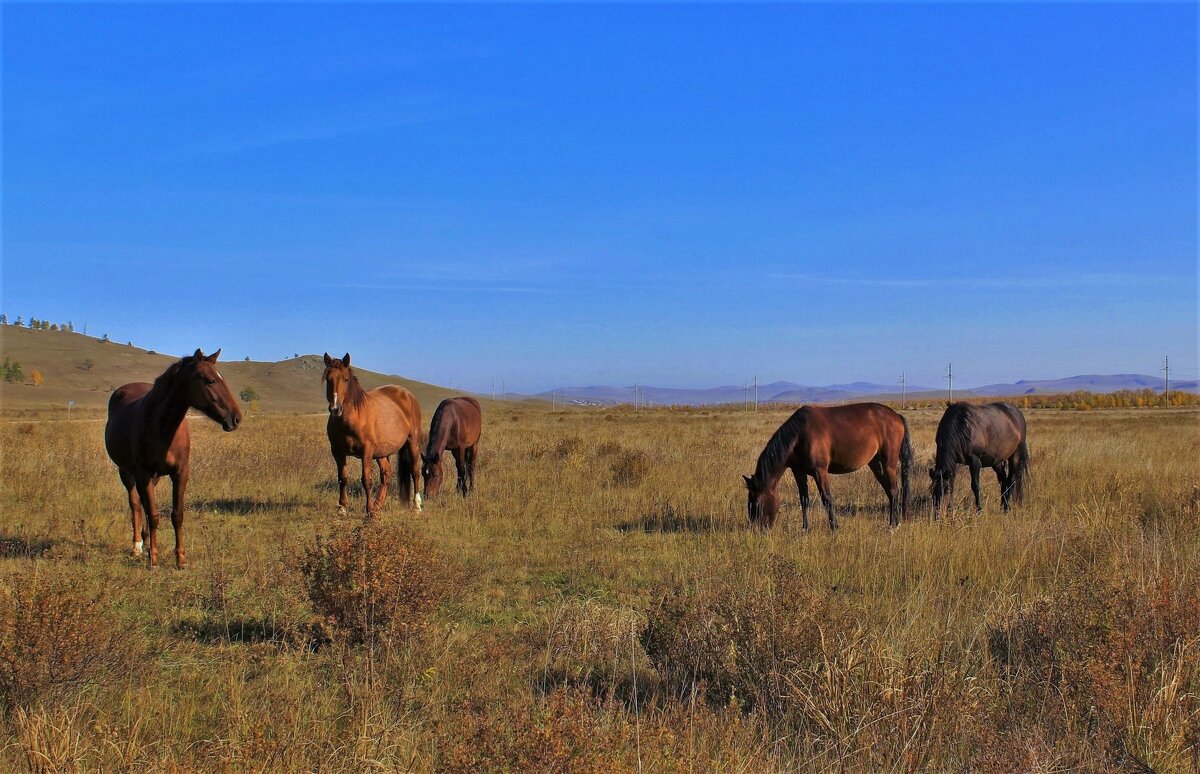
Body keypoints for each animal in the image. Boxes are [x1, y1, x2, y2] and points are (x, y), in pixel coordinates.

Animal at [105, 350, 241, 566]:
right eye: (210, 380)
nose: (236, 419)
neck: (162, 428)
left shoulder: (179, 473)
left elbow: (177, 515)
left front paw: (181, 559)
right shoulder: (143, 474)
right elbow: (153, 515)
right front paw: (153, 559)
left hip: (155, 477)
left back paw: (145, 540)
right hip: (126, 472)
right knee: (135, 504)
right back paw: (137, 546)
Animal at [321, 352, 424, 516]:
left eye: (346, 379)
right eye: (328, 379)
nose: (335, 409)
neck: (350, 420)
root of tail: (407, 394)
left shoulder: (367, 452)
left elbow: (366, 480)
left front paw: (368, 510)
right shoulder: (337, 451)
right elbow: (342, 478)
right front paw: (342, 508)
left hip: (413, 442)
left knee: (415, 471)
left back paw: (416, 506)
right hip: (382, 452)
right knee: (386, 475)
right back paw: (378, 506)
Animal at [739, 400, 907, 528]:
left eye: (757, 503)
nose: (756, 529)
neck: (799, 436)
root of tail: (896, 415)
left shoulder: (820, 471)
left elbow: (827, 499)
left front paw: (834, 528)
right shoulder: (798, 471)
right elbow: (804, 500)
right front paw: (805, 529)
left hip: (889, 463)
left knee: (894, 490)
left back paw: (894, 525)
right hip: (875, 464)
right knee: (889, 490)